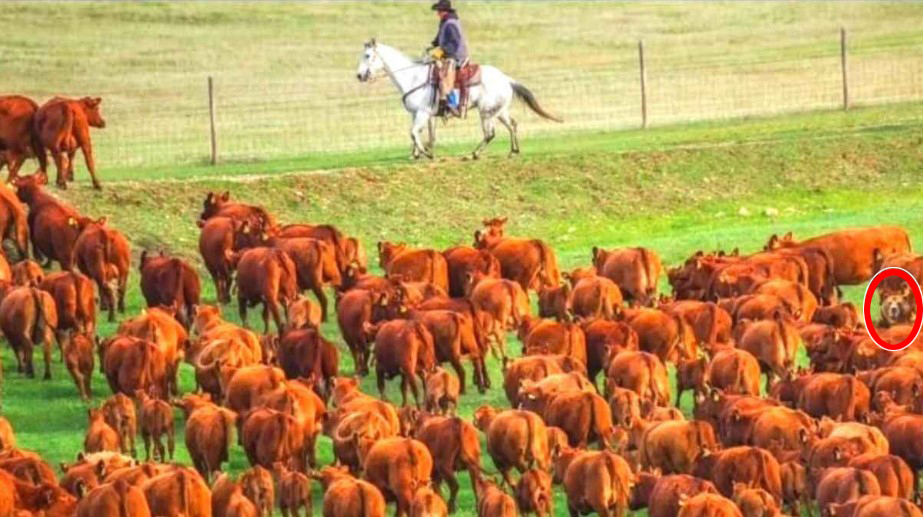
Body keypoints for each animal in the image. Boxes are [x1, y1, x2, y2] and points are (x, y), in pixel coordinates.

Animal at [356, 39, 564, 159]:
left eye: (367, 55)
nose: (359, 76)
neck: (413, 77)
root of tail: (507, 79)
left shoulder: (423, 113)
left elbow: (414, 132)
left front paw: (426, 153)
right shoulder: (416, 114)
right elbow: (415, 133)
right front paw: (415, 153)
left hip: (486, 112)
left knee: (490, 133)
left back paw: (475, 153)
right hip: (499, 111)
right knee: (512, 124)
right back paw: (513, 151)